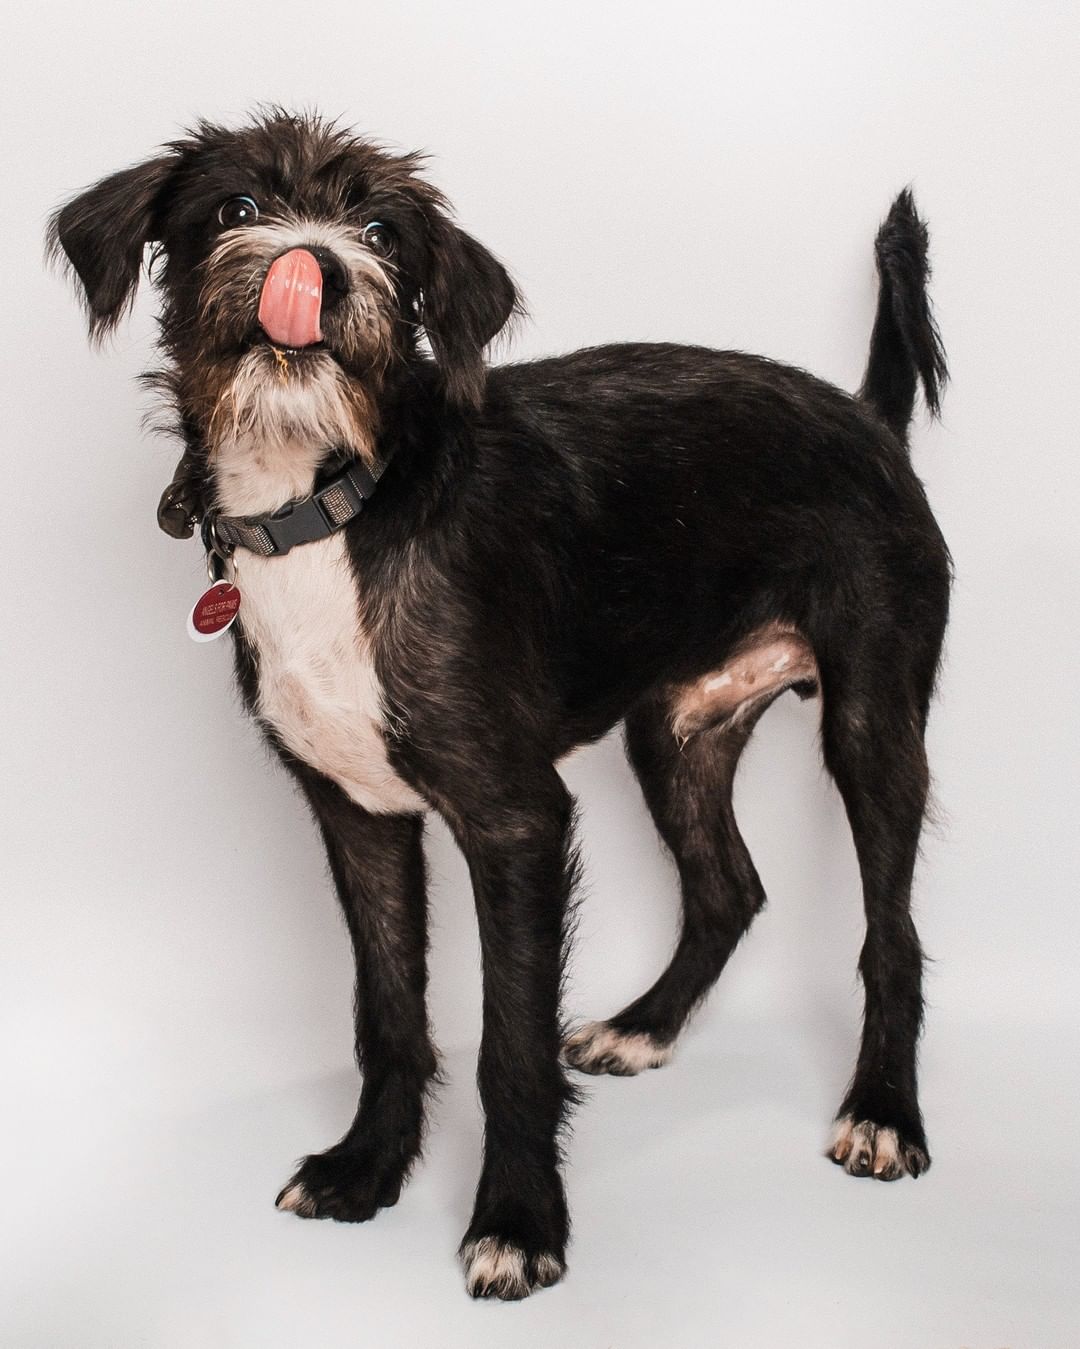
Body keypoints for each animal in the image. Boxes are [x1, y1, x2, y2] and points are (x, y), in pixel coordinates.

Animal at [50, 113, 949, 1295]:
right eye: (237, 209)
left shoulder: (515, 820)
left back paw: (885, 1111)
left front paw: (520, 1220)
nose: (316, 266)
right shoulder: (358, 817)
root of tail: (866, 418)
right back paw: (644, 1028)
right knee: (730, 887)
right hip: (675, 731)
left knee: (892, 932)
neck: (336, 501)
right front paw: (366, 1167)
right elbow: (388, 1012)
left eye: (383, 233)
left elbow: (508, 1039)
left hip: (872, 723)